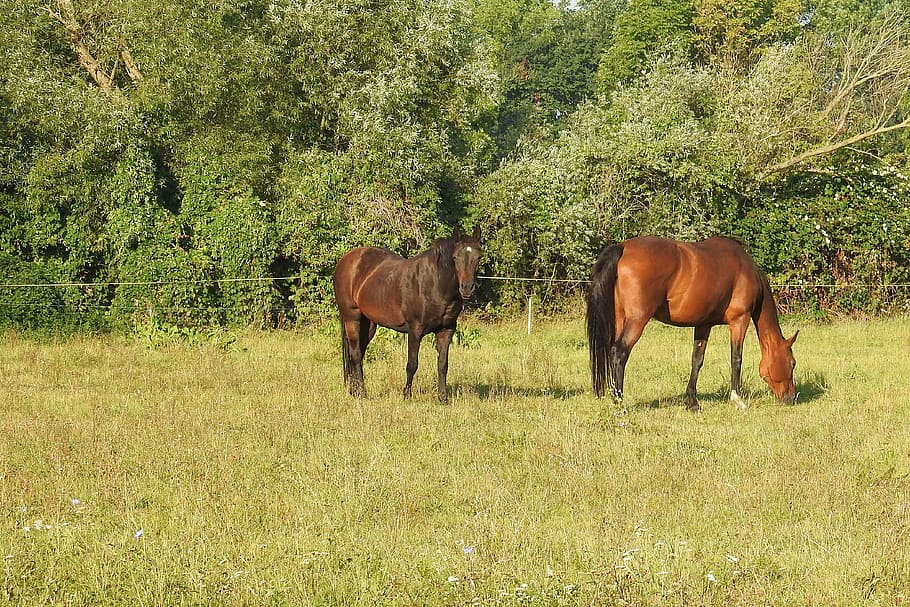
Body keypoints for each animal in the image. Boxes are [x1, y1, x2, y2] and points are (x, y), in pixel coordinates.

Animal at [332, 227, 481, 403]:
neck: (435, 284)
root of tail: (347, 259)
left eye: (478, 257)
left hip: (368, 324)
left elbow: (443, 364)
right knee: (355, 354)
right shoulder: (415, 330)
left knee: (358, 354)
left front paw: (443, 398)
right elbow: (412, 364)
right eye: (455, 257)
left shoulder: (446, 330)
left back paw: (354, 391)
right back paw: (362, 393)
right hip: (351, 318)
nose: (467, 288)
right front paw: (407, 395)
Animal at [586, 236, 798, 410]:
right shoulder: (740, 320)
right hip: (637, 320)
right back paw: (619, 402)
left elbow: (697, 360)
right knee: (619, 352)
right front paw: (737, 399)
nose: (791, 398)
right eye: (792, 363)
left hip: (620, 318)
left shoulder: (704, 325)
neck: (745, 270)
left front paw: (692, 402)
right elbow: (736, 358)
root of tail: (622, 248)